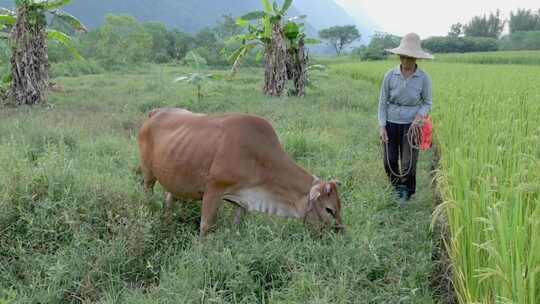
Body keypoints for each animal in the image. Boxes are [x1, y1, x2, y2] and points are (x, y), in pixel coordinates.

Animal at [137, 108, 344, 236]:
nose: (340, 233)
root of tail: (155, 112)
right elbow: (205, 226)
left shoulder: (242, 201)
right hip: (148, 173)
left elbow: (236, 225)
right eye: (329, 209)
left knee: (169, 199)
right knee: (148, 192)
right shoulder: (213, 190)